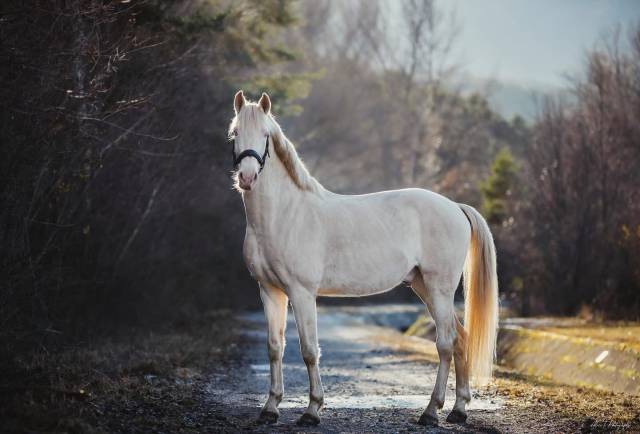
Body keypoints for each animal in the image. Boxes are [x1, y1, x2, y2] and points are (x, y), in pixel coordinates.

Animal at [228, 91, 498, 428]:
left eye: (265, 135)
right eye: (235, 133)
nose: (247, 177)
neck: (284, 215)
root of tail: (455, 207)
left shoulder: (302, 293)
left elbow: (309, 350)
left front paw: (311, 411)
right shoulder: (269, 291)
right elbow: (275, 348)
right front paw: (269, 409)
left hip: (440, 288)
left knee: (446, 344)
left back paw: (430, 412)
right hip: (423, 287)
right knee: (461, 339)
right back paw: (458, 411)